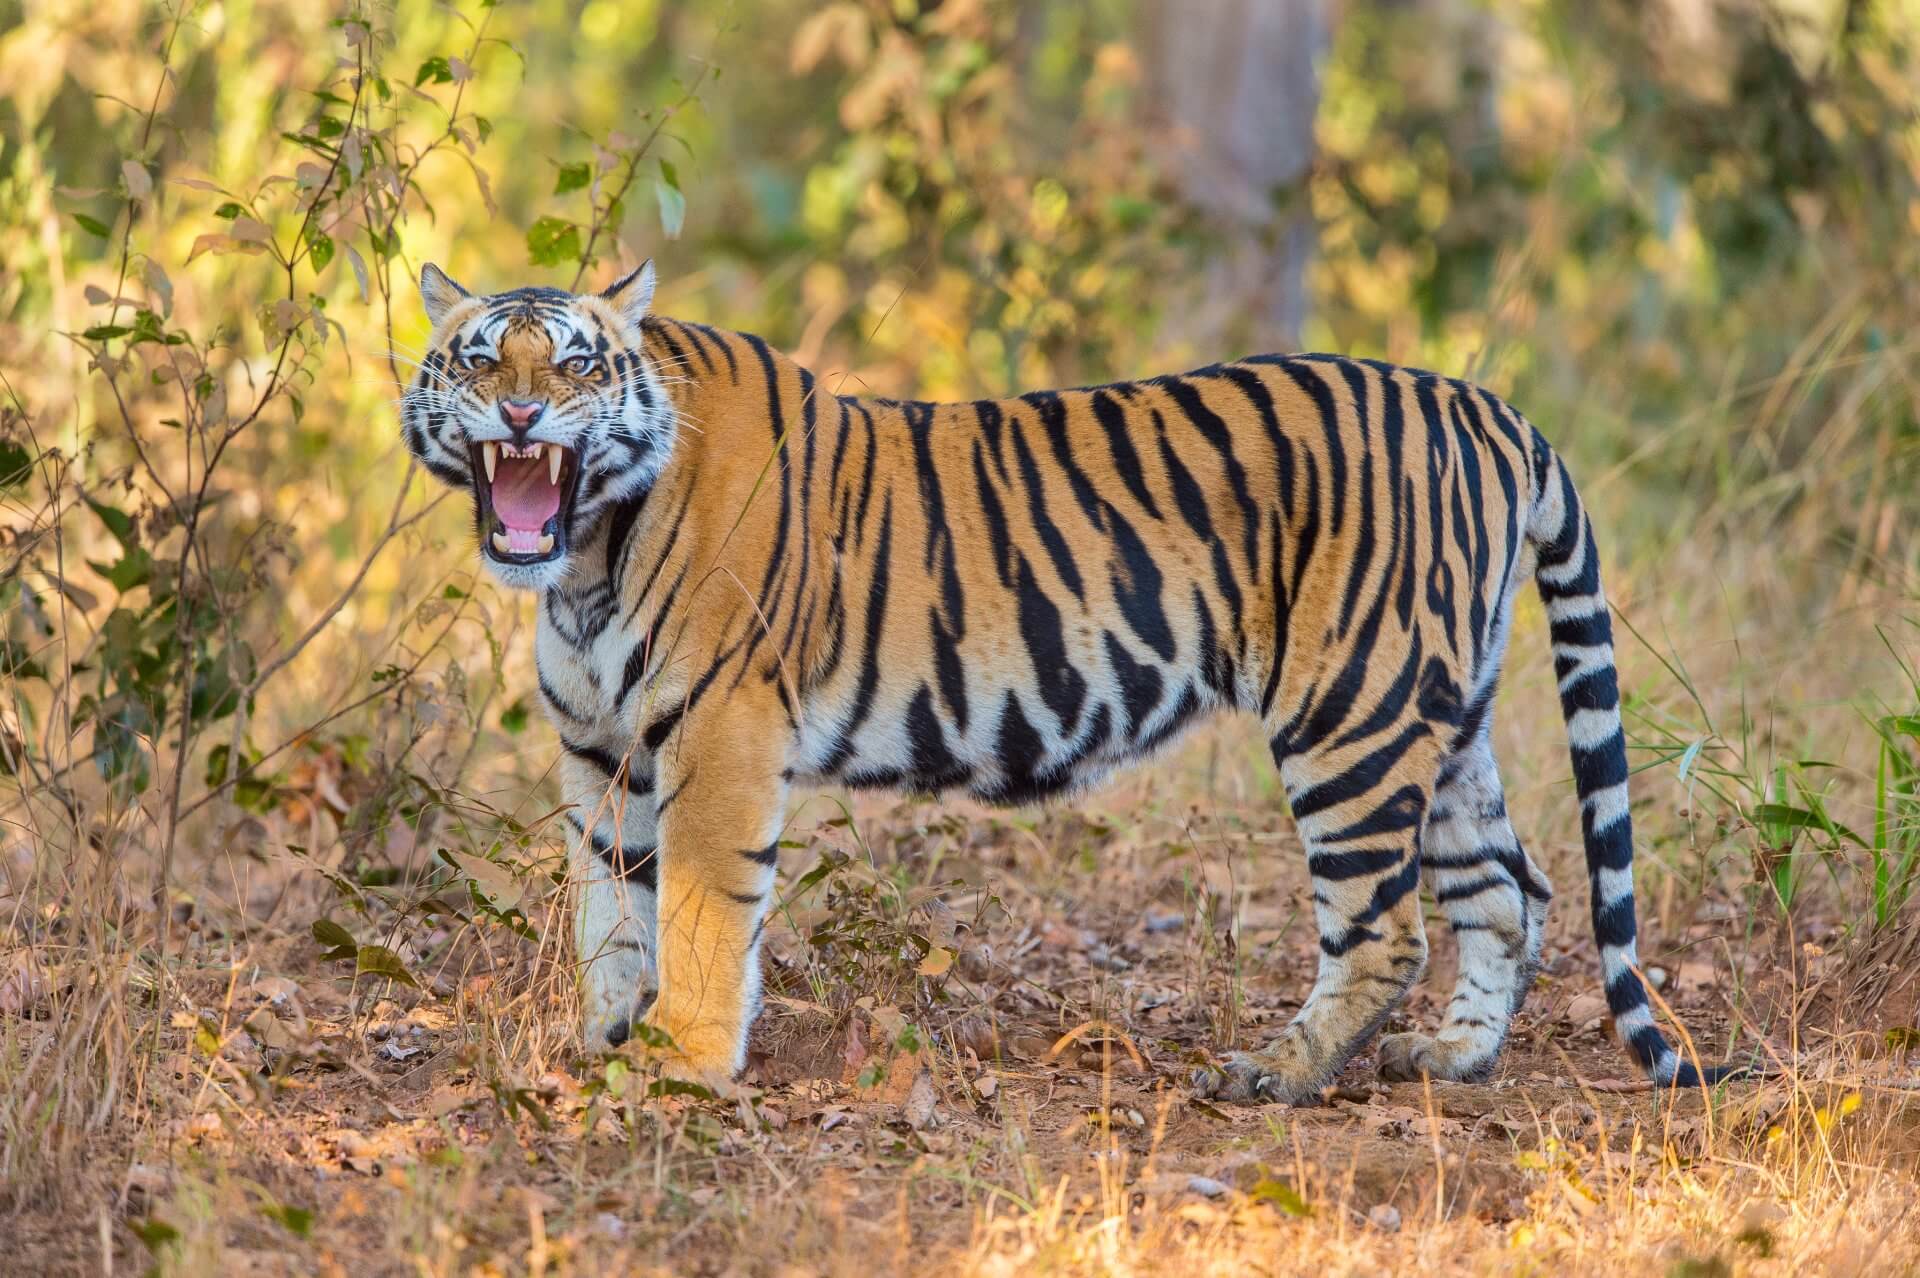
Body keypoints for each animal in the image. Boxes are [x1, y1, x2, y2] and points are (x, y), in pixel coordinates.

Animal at [397, 257, 1735, 1097]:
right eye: (480, 361)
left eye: (576, 366)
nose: (521, 412)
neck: (584, 561)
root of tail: (1488, 408)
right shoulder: (599, 745)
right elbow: (609, 909)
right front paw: (602, 1038)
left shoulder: (719, 730)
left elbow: (698, 905)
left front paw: (681, 1059)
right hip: (1439, 711)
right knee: (1510, 887)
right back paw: (1452, 1062)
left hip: (1349, 711)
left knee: (1384, 928)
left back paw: (1275, 1075)